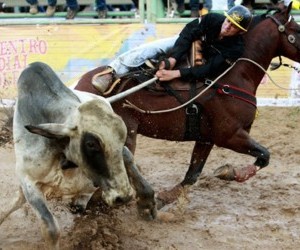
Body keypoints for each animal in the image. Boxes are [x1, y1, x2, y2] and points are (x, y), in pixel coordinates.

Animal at [0, 61, 155, 249]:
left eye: (122, 137)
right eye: (91, 144)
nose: (123, 197)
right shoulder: (28, 182)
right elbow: (50, 228)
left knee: (127, 156)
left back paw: (146, 201)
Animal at [75, 3, 300, 206]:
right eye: (297, 30)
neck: (232, 76)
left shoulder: (207, 138)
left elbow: (192, 175)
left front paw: (163, 199)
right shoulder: (230, 135)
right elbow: (264, 155)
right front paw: (229, 172)